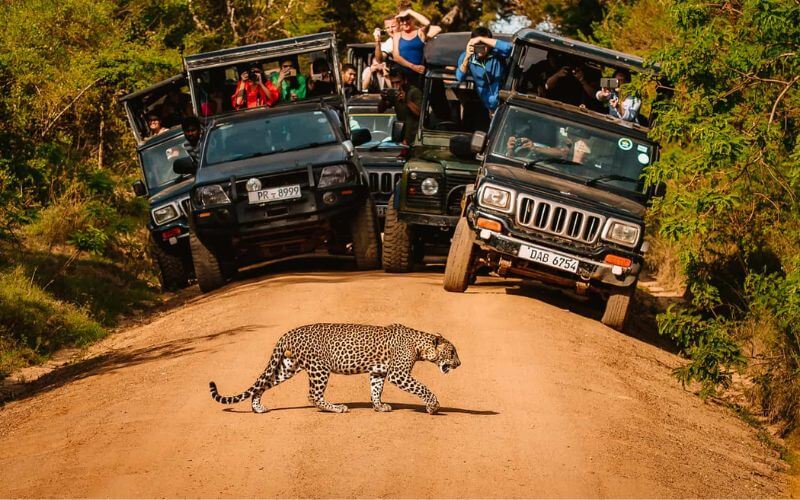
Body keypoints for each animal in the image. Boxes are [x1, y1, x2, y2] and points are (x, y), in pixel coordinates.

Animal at [209, 324, 460, 414]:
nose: (459, 364)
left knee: (264, 384)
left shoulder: (378, 372)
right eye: (452, 352)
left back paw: (258, 407)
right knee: (313, 395)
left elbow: (375, 390)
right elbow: (422, 388)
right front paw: (433, 406)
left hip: (289, 366)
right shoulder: (398, 374)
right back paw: (337, 408)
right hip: (319, 368)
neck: (420, 345)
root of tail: (288, 332)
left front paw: (379, 406)